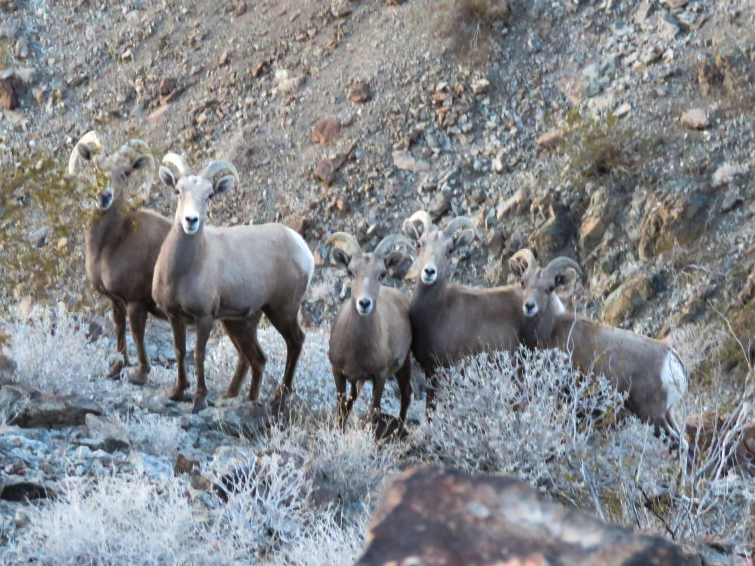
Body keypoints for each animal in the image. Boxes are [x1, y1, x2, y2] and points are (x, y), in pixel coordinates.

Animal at [68, 131, 170, 384]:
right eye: (95, 167)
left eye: (125, 173)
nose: (104, 196)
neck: (110, 243)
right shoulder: (115, 301)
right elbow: (118, 328)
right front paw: (115, 368)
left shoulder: (136, 302)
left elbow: (137, 333)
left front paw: (140, 374)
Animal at [155, 155, 314, 412]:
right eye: (178, 190)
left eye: (209, 195)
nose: (191, 221)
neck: (182, 271)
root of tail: (301, 247)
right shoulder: (174, 315)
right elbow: (180, 351)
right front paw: (177, 392)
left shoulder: (205, 318)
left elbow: (198, 354)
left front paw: (200, 399)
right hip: (238, 322)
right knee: (256, 358)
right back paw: (243, 398)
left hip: (282, 310)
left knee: (295, 341)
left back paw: (280, 396)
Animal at [328, 232, 416, 430]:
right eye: (350, 272)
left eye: (382, 273)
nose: (364, 303)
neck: (356, 347)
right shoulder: (339, 372)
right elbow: (342, 406)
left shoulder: (380, 377)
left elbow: (374, 411)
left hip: (404, 364)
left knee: (406, 394)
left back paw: (398, 431)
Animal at [404, 211, 564, 410]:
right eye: (419, 244)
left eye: (450, 250)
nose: (429, 272)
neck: (437, 312)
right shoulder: (429, 371)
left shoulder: (445, 373)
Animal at [510, 250, 688, 444]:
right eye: (523, 282)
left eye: (549, 288)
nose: (529, 306)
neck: (552, 330)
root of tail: (673, 361)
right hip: (668, 414)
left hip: (651, 416)